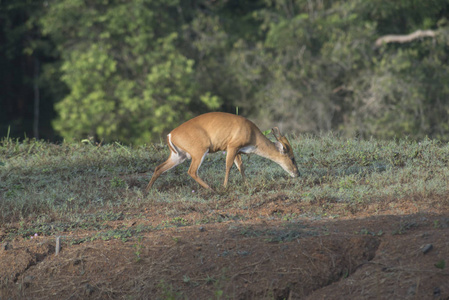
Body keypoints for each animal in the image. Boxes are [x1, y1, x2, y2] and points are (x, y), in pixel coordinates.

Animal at [145, 111, 300, 191]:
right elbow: (228, 166)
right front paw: (225, 186)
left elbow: (241, 167)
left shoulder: (237, 151)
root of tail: (170, 135)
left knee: (159, 168)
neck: (253, 136)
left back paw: (147, 191)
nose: (297, 174)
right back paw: (212, 189)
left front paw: (247, 185)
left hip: (179, 156)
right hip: (199, 151)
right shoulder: (232, 146)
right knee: (192, 171)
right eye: (292, 158)